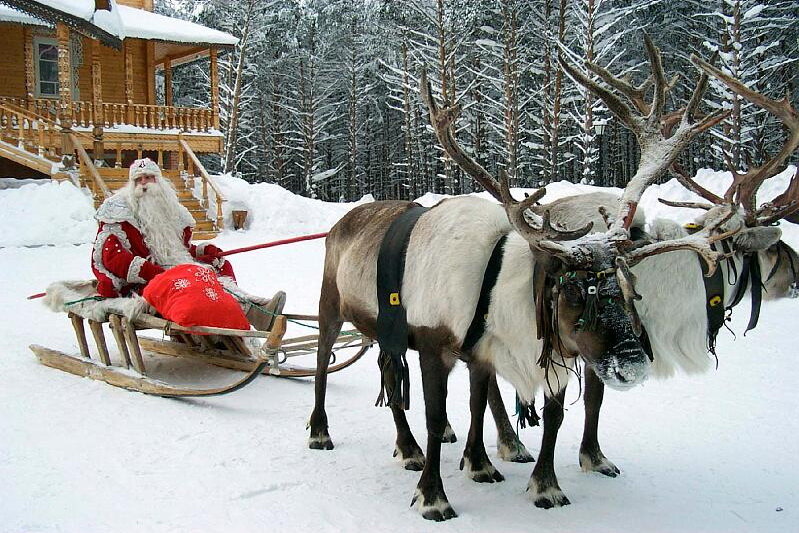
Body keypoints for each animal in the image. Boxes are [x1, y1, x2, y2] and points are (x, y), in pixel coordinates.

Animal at [307, 35, 733, 521]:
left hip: (384, 328)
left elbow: (511, 411)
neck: (496, 288)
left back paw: (407, 447)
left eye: (627, 287)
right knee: (322, 362)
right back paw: (322, 431)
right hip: (329, 305)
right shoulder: (436, 345)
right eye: (573, 288)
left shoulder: (502, 352)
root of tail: (342, 222)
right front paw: (433, 496)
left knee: (389, 374)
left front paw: (518, 477)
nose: (634, 363)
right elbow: (436, 417)